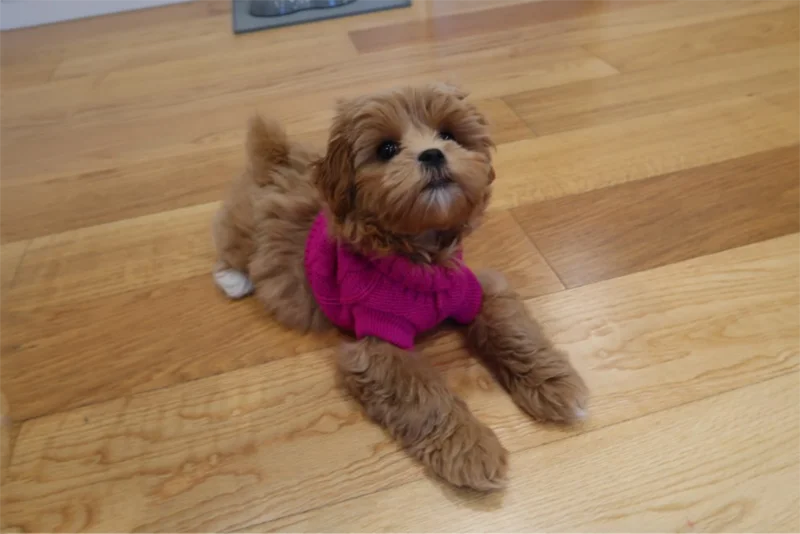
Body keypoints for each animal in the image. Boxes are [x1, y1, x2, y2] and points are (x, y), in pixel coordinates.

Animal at [212, 84, 588, 491]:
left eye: (448, 135)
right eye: (387, 149)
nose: (432, 153)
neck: (419, 261)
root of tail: (276, 161)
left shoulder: (477, 290)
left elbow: (513, 332)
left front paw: (557, 384)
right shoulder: (379, 345)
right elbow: (422, 397)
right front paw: (470, 450)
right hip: (245, 233)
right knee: (230, 245)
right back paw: (233, 279)